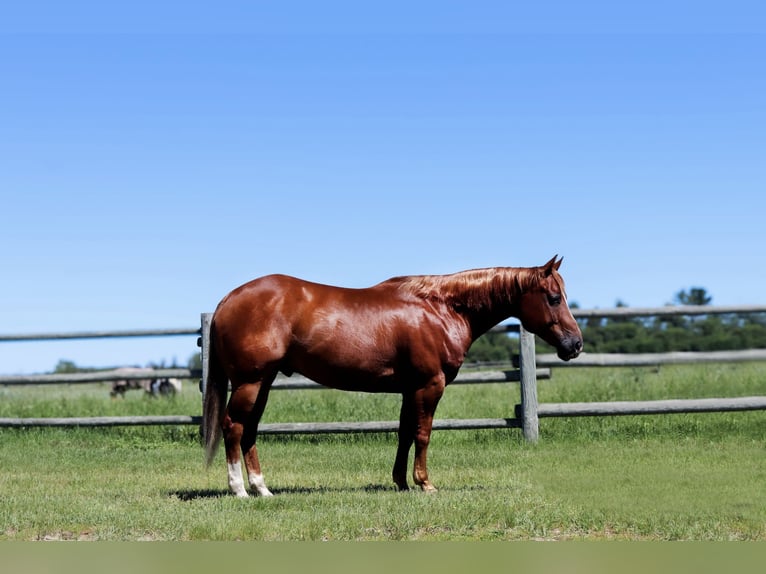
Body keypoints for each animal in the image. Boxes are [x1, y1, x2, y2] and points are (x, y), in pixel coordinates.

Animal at [204, 256, 584, 500]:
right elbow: (423, 434)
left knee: (249, 430)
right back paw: (239, 490)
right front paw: (425, 483)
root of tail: (228, 299)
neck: (440, 308)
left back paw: (262, 489)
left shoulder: (409, 389)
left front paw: (401, 483)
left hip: (263, 383)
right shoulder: (430, 385)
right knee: (233, 427)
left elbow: (404, 434)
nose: (575, 344)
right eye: (554, 298)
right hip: (250, 383)